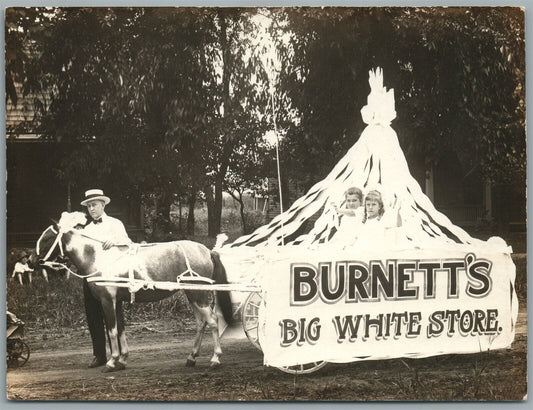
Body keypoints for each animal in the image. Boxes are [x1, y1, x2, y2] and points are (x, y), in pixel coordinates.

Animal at [34, 211, 232, 372]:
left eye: (46, 238)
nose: (30, 260)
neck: (99, 258)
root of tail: (208, 251)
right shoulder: (117, 302)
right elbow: (121, 329)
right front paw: (122, 360)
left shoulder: (108, 301)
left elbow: (112, 330)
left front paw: (112, 362)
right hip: (192, 294)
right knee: (201, 323)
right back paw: (191, 357)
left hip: (199, 295)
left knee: (212, 321)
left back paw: (215, 358)